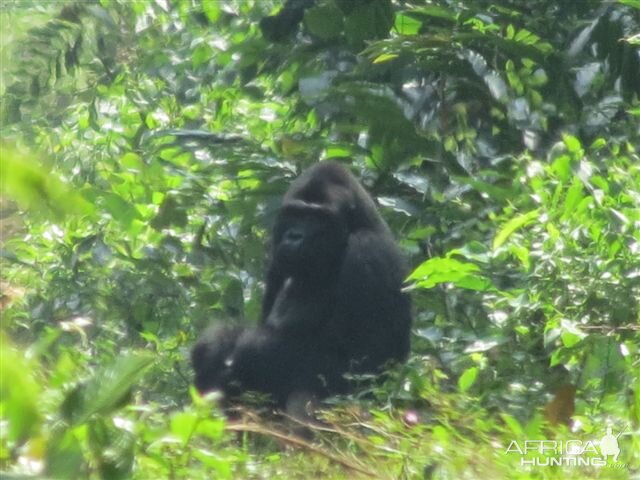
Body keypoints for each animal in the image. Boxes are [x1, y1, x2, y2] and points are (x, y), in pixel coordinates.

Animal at [191, 161, 410, 404]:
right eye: (296, 213)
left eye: (317, 217)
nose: (295, 236)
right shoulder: (276, 259)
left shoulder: (367, 252)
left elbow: (359, 368)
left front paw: (233, 345)